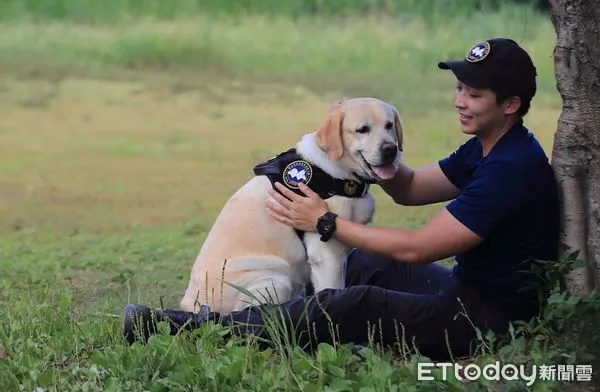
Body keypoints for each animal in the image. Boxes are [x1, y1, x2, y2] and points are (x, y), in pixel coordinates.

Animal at [178, 99, 404, 316]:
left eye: (389, 125)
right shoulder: (327, 255)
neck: (335, 174)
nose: (390, 149)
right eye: (362, 129)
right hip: (275, 278)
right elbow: (333, 293)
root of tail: (191, 307)